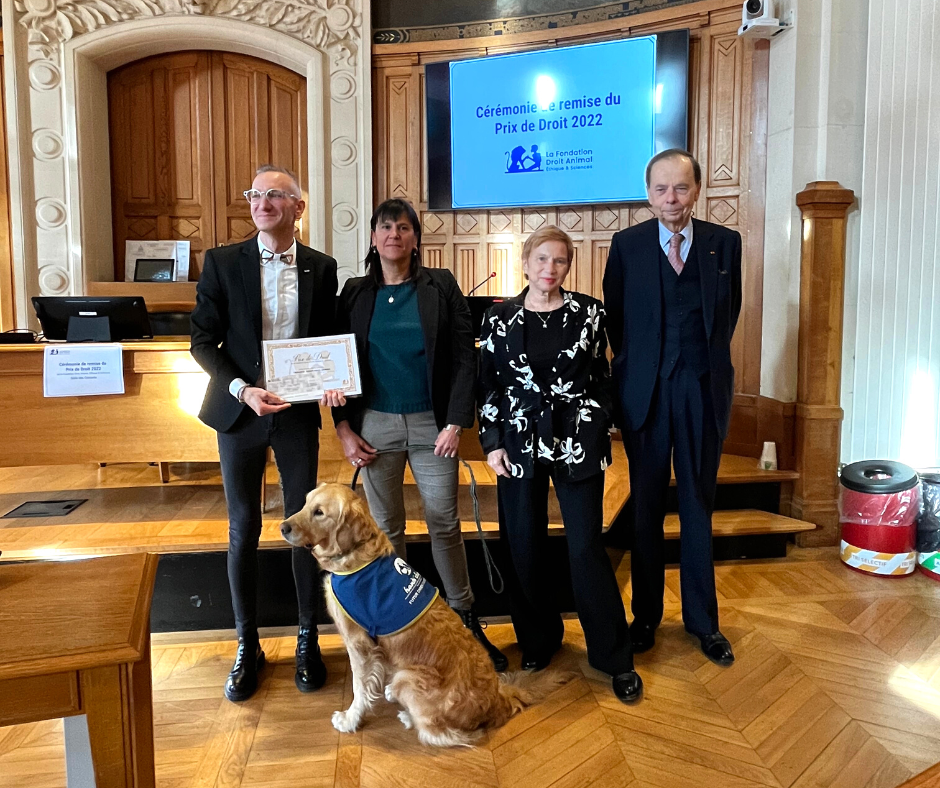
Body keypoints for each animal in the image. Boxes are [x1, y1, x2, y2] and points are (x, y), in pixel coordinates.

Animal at [280, 480, 572, 744]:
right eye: (305, 504)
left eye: (319, 512)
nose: (283, 527)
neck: (357, 554)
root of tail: (497, 699)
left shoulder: (359, 643)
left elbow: (360, 688)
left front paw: (350, 719)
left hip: (409, 679)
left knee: (444, 734)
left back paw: (408, 715)